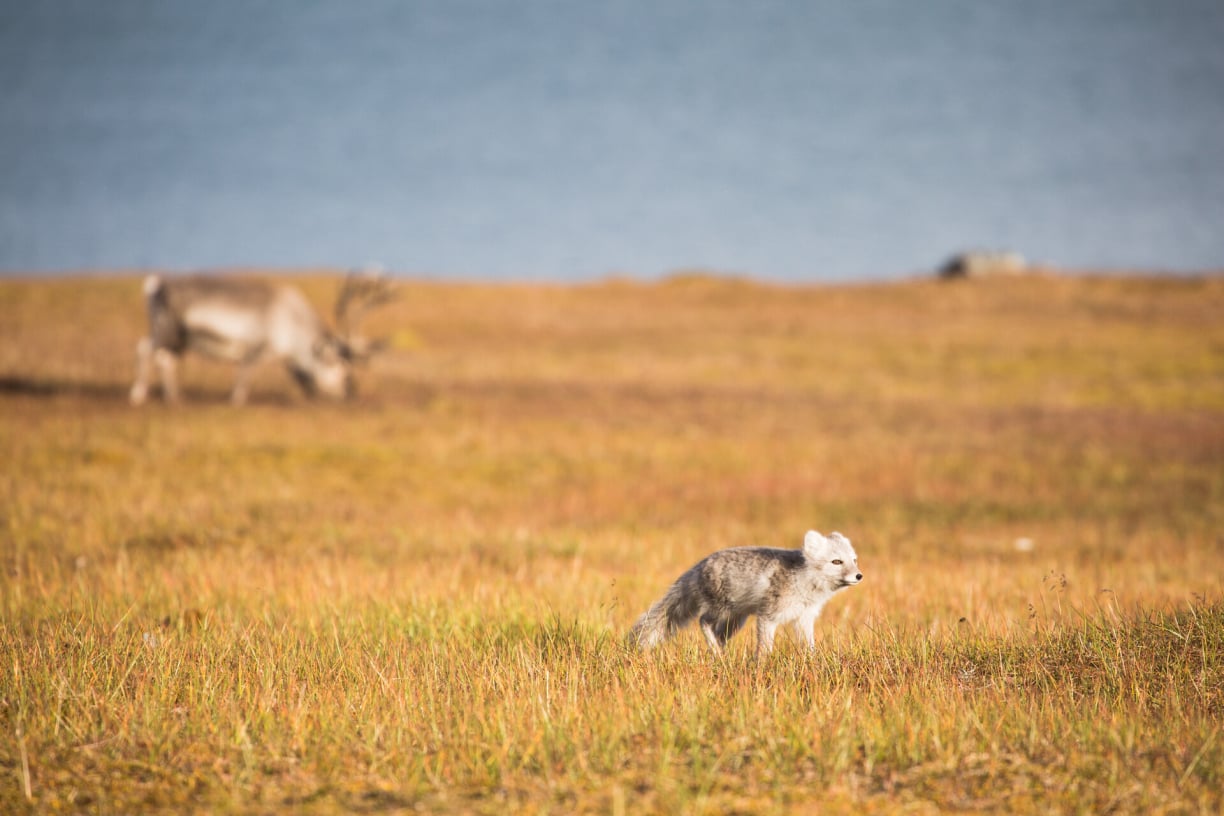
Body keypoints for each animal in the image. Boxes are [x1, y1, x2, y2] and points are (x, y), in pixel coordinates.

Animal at [629, 530, 862, 657]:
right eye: (836, 562)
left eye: (854, 560)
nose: (859, 575)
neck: (805, 582)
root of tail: (700, 564)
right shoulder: (767, 617)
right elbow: (765, 648)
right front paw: (761, 667)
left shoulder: (803, 619)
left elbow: (809, 648)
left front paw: (811, 663)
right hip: (722, 610)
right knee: (703, 621)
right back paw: (717, 654)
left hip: (735, 621)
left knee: (717, 635)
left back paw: (720, 657)